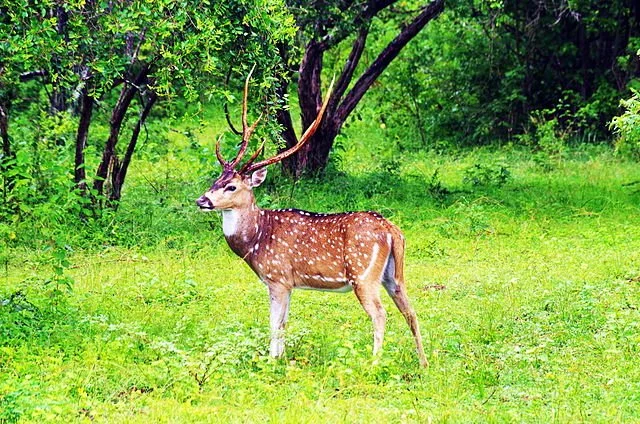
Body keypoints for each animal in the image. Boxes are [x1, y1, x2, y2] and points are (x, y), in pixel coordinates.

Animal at [196, 70, 428, 367]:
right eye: (216, 180)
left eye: (232, 186)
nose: (202, 200)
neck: (257, 240)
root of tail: (392, 231)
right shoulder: (289, 284)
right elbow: (284, 323)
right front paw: (280, 358)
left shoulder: (278, 277)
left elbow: (276, 325)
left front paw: (272, 362)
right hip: (393, 275)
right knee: (410, 310)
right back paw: (424, 363)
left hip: (363, 274)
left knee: (380, 313)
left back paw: (373, 362)